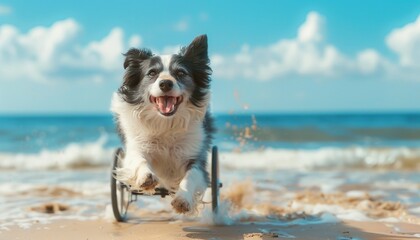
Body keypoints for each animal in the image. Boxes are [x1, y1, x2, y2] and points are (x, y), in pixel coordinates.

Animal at [110, 34, 215, 214]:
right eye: (152, 73)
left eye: (180, 72)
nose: (165, 83)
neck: (165, 123)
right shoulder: (135, 147)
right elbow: (139, 160)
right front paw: (146, 177)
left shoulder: (196, 156)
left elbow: (191, 175)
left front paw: (182, 199)